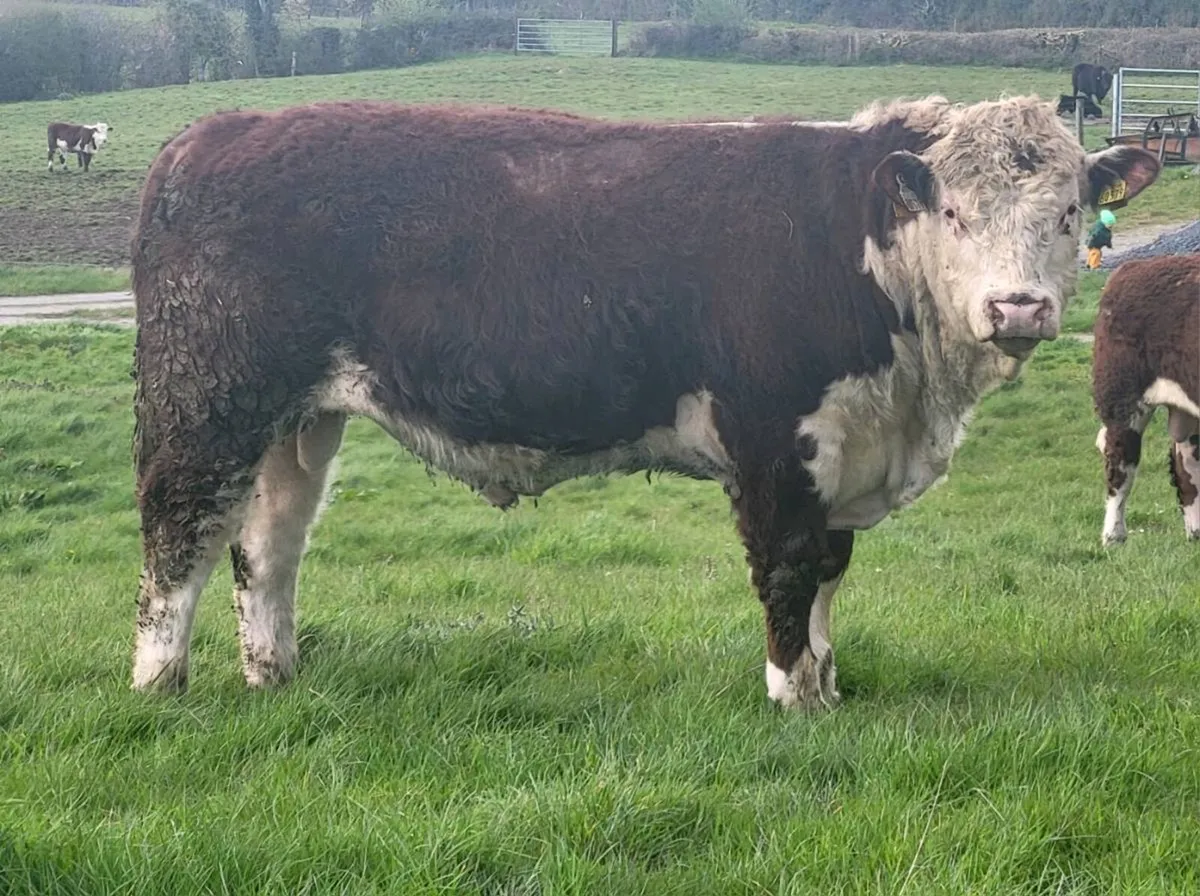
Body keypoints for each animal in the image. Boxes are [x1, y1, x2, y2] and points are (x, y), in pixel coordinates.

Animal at [128, 96, 1161, 708]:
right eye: (953, 212)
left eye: (1068, 212)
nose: (1018, 307)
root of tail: (215, 130)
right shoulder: (774, 440)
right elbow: (788, 570)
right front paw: (794, 698)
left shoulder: (842, 444)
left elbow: (830, 570)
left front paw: (827, 684)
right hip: (208, 398)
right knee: (176, 536)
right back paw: (159, 685)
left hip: (297, 421)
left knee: (266, 547)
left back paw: (272, 676)